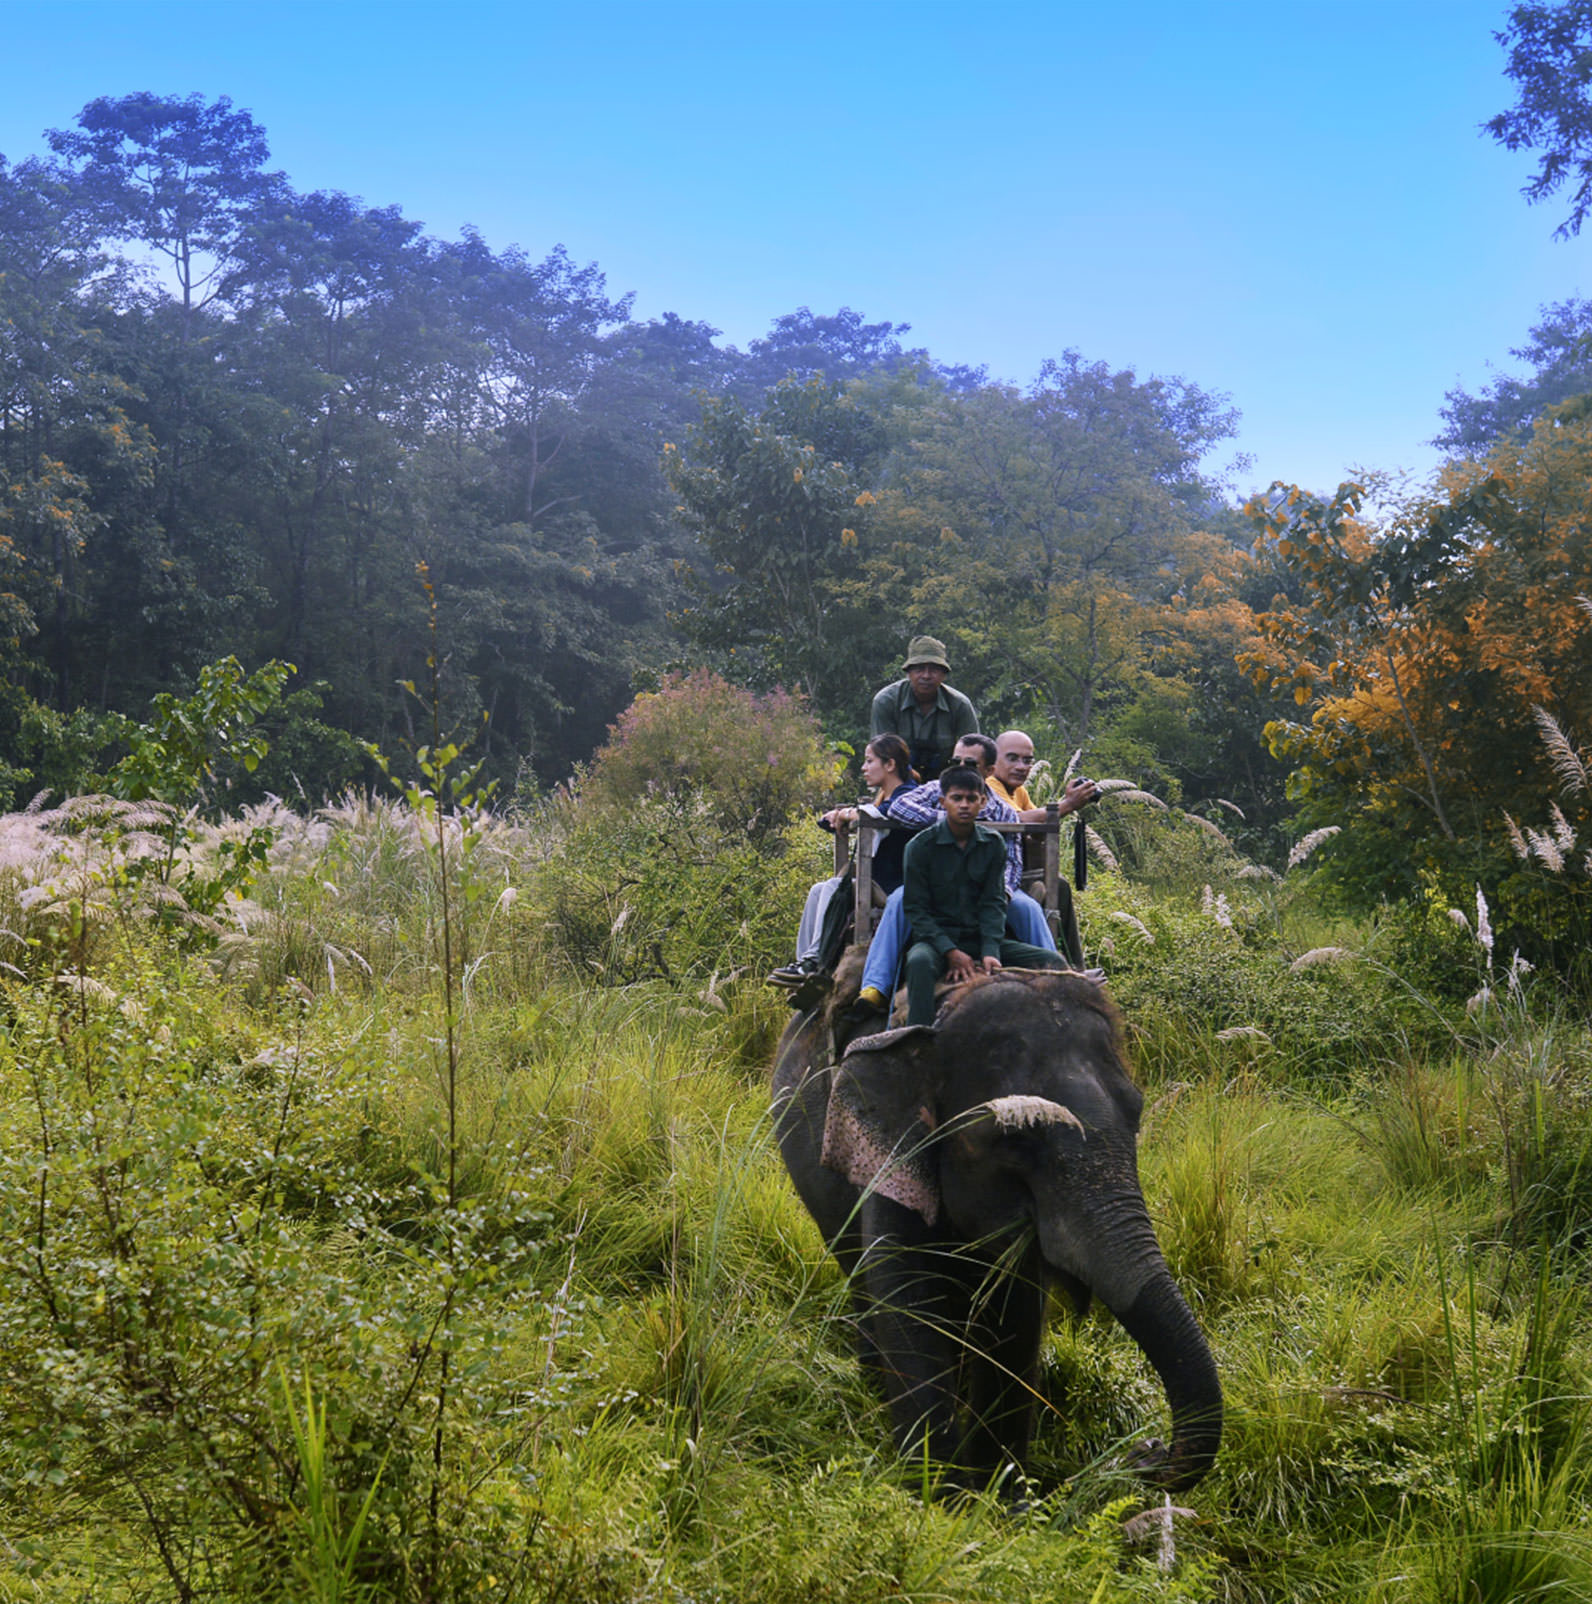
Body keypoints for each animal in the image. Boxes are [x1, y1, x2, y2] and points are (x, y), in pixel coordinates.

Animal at [771, 962, 1221, 1492]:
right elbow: (909, 1303)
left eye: (1136, 1115)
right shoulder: (892, 1158)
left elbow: (1015, 1319)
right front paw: (942, 1495)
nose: (1143, 1451)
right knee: (857, 1273)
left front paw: (1004, 1495)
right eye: (1016, 1139)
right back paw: (874, 1379)